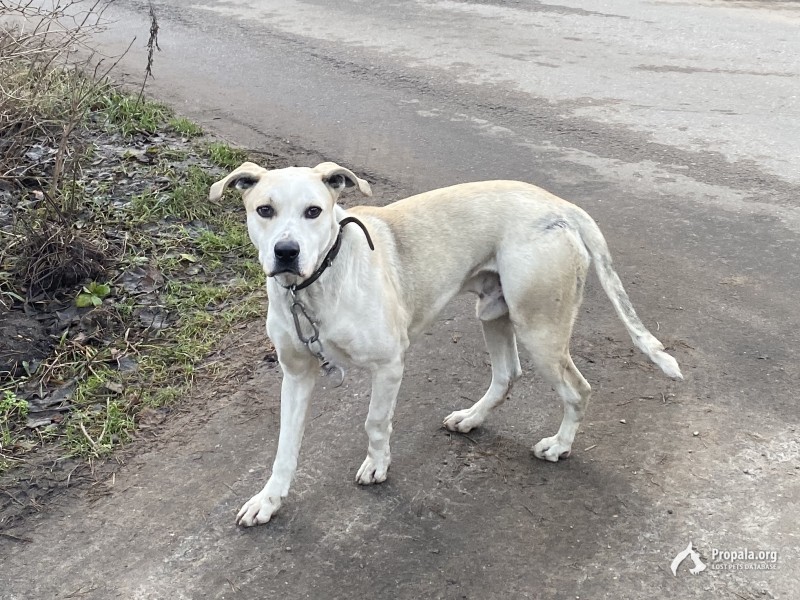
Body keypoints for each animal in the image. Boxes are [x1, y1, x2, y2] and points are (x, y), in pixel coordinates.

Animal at [208, 162, 680, 528]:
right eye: (264, 210)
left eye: (314, 212)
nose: (286, 252)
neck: (320, 280)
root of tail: (558, 204)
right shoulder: (296, 375)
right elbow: (285, 448)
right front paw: (269, 500)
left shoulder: (389, 365)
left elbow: (375, 423)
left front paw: (377, 465)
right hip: (494, 313)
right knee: (507, 374)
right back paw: (472, 418)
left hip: (539, 328)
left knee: (578, 390)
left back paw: (559, 446)